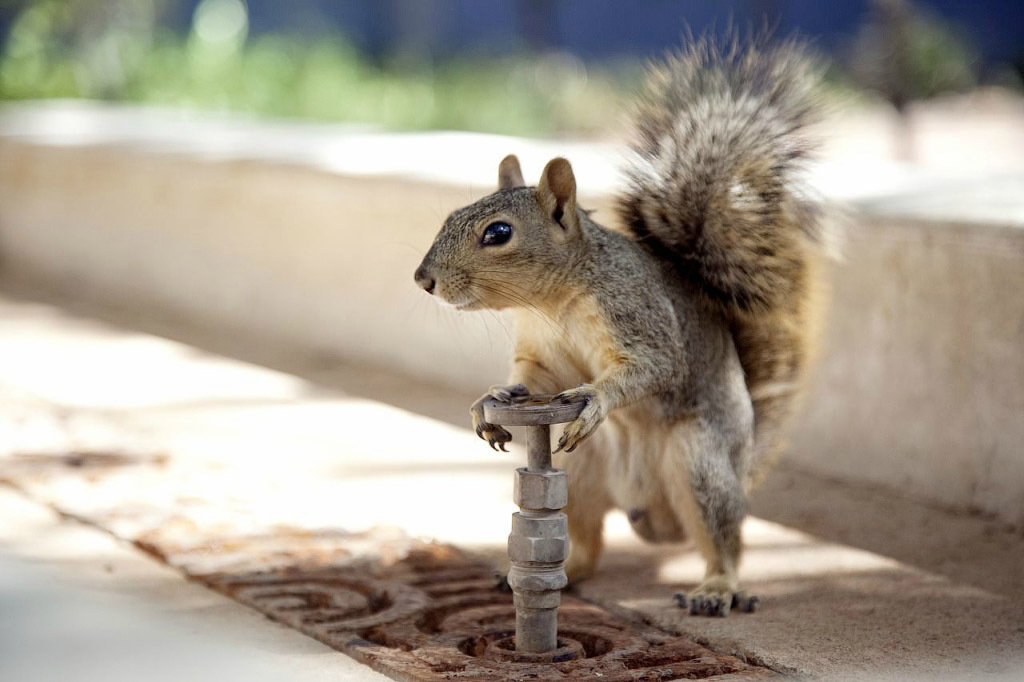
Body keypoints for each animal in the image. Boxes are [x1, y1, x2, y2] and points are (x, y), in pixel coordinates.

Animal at [411, 41, 827, 614]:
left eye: (498, 233)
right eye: (451, 215)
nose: (422, 279)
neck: (552, 303)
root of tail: (648, 510)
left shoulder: (636, 312)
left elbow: (655, 364)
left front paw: (596, 398)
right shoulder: (540, 352)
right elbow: (534, 379)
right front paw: (492, 398)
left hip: (698, 463)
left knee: (724, 538)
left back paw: (716, 588)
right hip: (582, 472)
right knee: (583, 540)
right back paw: (565, 573)